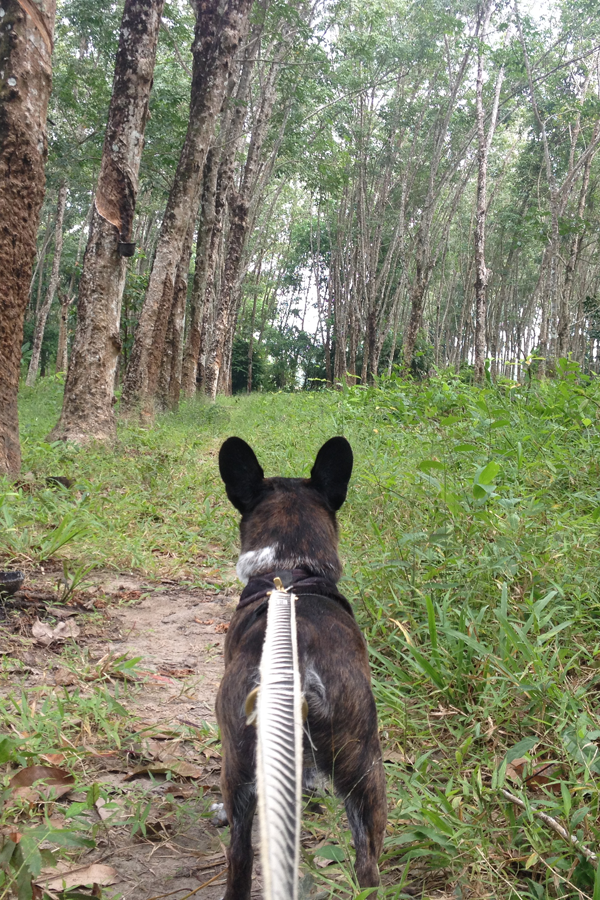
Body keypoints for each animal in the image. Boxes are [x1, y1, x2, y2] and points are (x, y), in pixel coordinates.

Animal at [218, 432, 386, 896]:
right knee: (367, 867)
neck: (289, 568)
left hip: (242, 770)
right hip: (366, 774)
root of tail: (300, 663)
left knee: (240, 857)